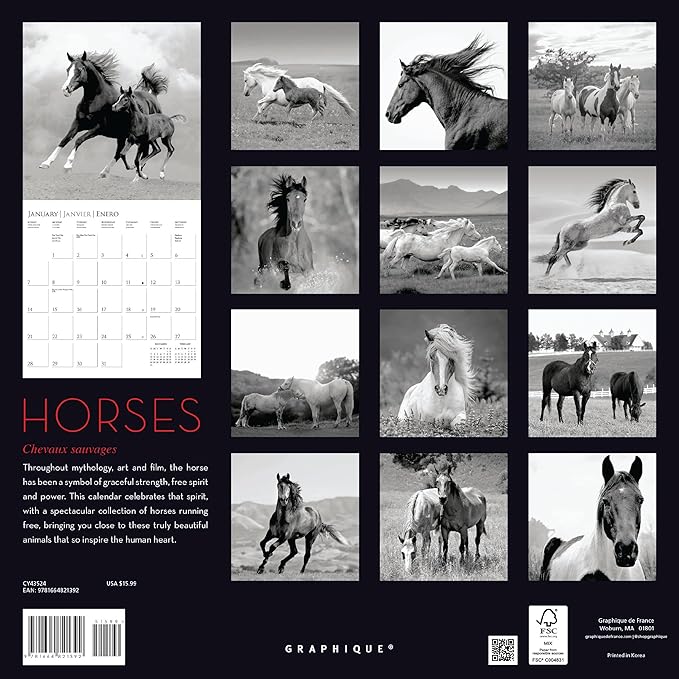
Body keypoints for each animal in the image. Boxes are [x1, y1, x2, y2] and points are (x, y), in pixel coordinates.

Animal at [38, 52, 167, 176]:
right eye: (67, 69)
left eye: (79, 70)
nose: (65, 89)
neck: (96, 100)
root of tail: (153, 97)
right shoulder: (78, 123)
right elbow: (65, 139)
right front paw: (46, 163)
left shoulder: (98, 128)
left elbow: (79, 140)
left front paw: (68, 166)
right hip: (122, 137)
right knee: (119, 153)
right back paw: (104, 173)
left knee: (145, 153)